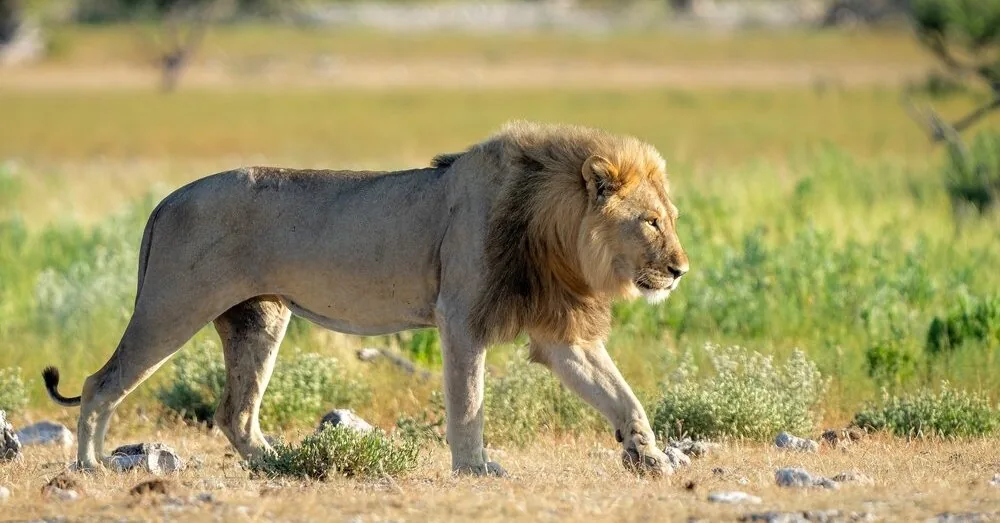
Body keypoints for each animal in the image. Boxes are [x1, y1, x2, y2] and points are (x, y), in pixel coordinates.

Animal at [42, 120, 689, 477]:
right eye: (651, 222)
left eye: (671, 219)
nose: (681, 270)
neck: (552, 228)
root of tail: (165, 200)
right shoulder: (461, 317)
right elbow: (467, 403)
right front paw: (475, 468)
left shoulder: (559, 333)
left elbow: (622, 396)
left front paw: (649, 457)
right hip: (172, 306)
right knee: (102, 382)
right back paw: (91, 465)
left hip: (258, 319)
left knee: (234, 412)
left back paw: (283, 464)